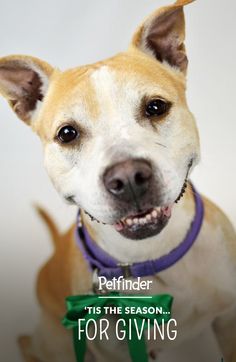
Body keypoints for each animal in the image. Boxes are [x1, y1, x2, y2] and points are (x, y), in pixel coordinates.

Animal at [0, 0, 236, 362]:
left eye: (156, 107)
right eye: (67, 133)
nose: (128, 178)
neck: (150, 256)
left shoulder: (228, 318)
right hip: (56, 341)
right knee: (26, 341)